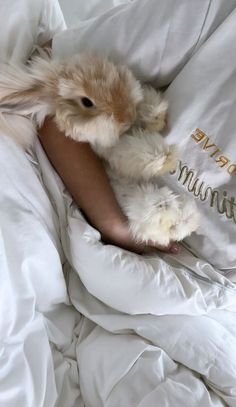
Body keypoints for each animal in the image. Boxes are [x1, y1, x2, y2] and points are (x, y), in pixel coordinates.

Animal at [0, 52, 199, 247]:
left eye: (113, 75)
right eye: (86, 102)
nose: (127, 115)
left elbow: (147, 108)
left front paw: (156, 118)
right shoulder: (110, 150)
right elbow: (136, 151)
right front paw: (167, 158)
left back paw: (191, 218)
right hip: (146, 207)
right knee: (162, 219)